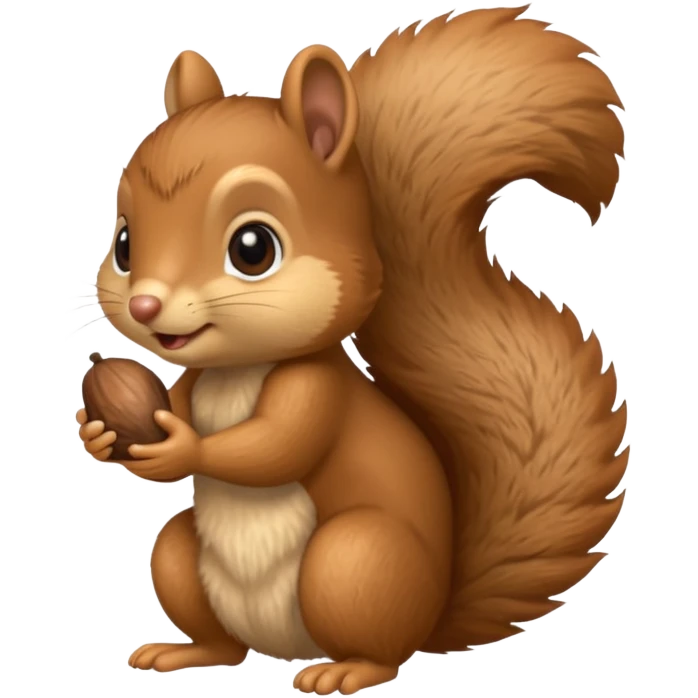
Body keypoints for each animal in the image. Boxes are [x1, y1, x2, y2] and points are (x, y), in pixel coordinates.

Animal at [77, 5, 628, 694]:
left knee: (380, 646)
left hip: (355, 561)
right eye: (125, 245)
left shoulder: (318, 389)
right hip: (183, 557)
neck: (237, 371)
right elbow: (177, 406)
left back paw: (347, 670)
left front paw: (182, 446)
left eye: (252, 248)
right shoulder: (190, 383)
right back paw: (188, 651)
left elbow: (275, 446)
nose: (147, 307)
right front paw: (99, 434)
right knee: (216, 628)